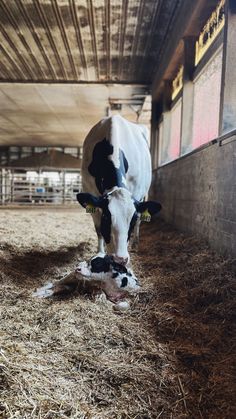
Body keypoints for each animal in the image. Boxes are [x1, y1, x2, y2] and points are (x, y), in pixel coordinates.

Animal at [76, 115, 161, 266]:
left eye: (132, 219)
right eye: (106, 217)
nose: (120, 259)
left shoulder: (137, 193)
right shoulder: (91, 193)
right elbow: (99, 229)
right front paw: (100, 252)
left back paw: (135, 244)